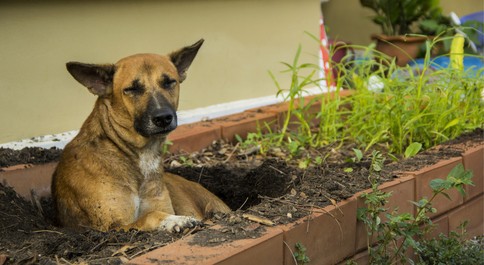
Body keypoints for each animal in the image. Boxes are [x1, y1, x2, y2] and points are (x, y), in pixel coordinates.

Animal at [51, 39, 231, 231]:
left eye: (169, 82)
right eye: (132, 89)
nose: (163, 117)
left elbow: (154, 211)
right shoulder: (114, 227)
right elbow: (149, 216)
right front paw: (174, 220)